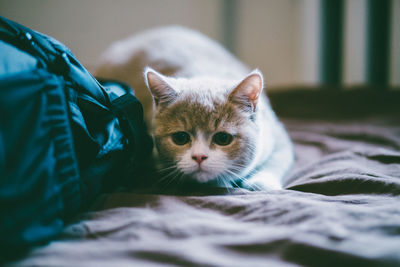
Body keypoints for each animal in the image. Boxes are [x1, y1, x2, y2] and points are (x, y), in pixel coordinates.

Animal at [95, 26, 292, 192]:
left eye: (223, 138)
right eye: (180, 138)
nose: (199, 157)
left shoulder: (277, 134)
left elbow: (279, 158)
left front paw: (261, 182)